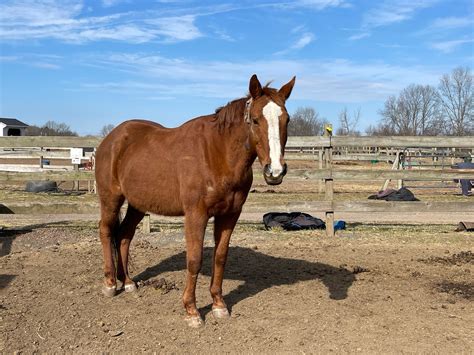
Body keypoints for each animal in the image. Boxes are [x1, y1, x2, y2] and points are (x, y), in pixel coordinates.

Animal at [94, 74, 294, 328]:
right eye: (256, 120)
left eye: (286, 120)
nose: (275, 171)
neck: (217, 154)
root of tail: (111, 139)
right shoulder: (195, 214)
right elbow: (194, 260)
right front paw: (192, 311)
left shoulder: (230, 215)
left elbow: (220, 257)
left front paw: (218, 304)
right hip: (111, 198)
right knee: (106, 231)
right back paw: (110, 284)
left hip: (137, 204)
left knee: (124, 235)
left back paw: (127, 281)